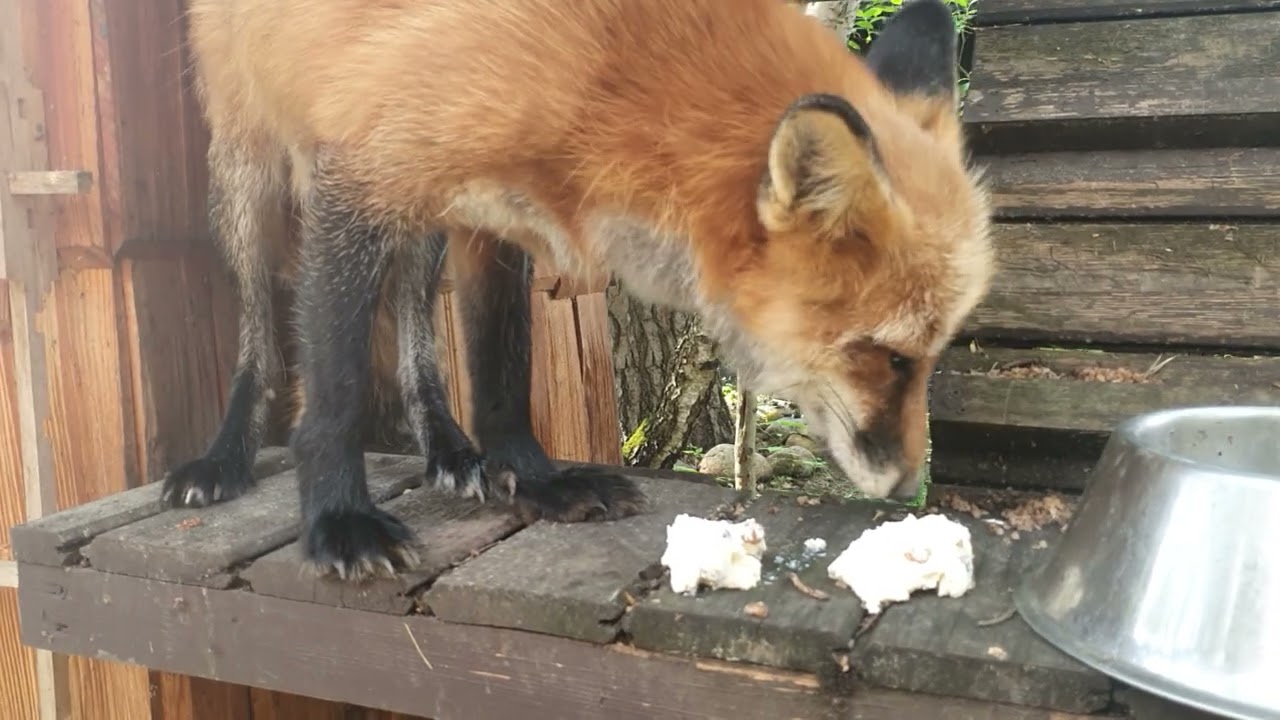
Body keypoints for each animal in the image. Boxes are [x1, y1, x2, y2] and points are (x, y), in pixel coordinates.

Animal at [166, 0, 995, 583]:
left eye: (931, 353)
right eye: (890, 357)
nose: (910, 487)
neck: (604, 62)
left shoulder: (487, 219)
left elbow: (503, 372)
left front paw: (534, 480)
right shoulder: (362, 177)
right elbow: (334, 395)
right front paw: (339, 521)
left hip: (424, 229)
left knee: (416, 336)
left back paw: (449, 448)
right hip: (249, 177)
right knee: (259, 334)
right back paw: (224, 458)